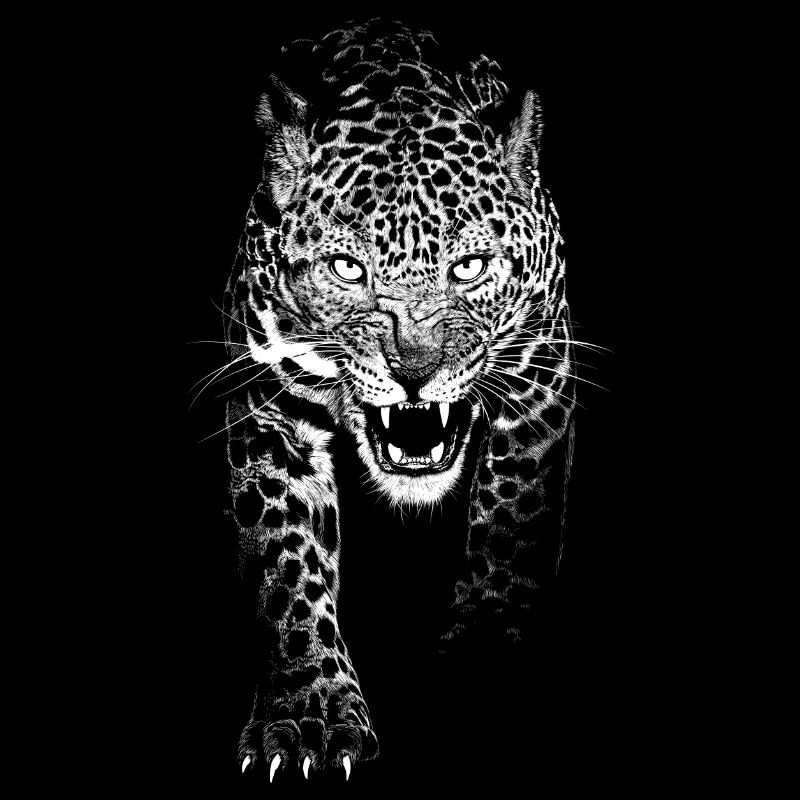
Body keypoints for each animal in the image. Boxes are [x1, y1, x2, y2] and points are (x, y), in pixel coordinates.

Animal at [221, 18, 576, 784]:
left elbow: (510, 522)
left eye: (469, 266)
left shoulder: (540, 380)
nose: (415, 369)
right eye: (347, 269)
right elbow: (287, 561)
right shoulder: (268, 404)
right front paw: (310, 714)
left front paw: (480, 664)